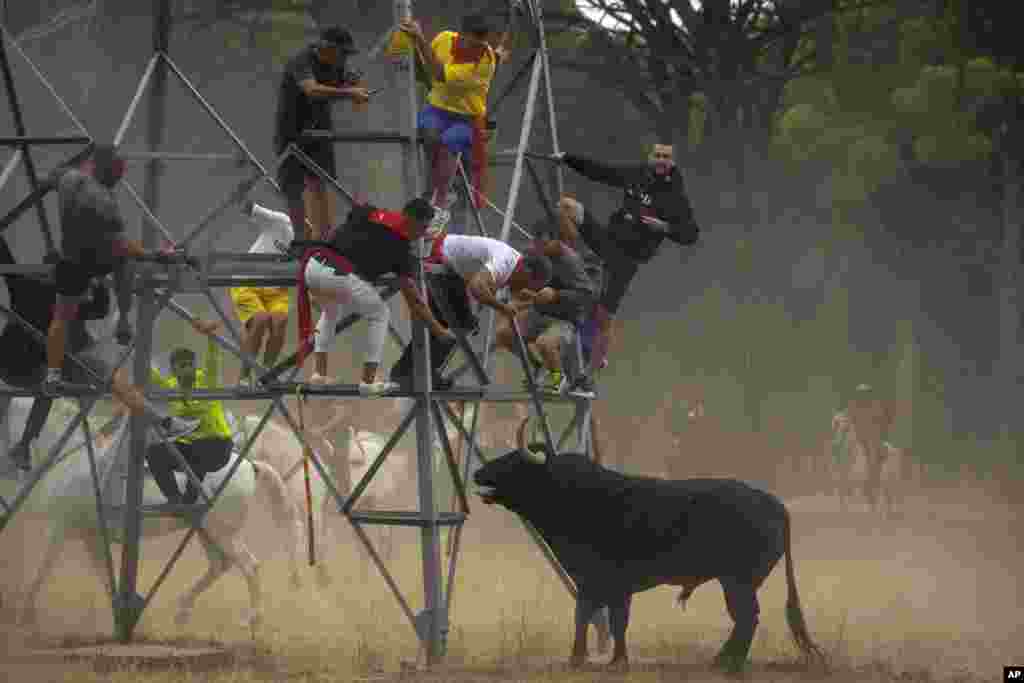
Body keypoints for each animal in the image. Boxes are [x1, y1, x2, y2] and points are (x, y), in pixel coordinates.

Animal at [473, 430, 823, 671]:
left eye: (514, 460)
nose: (478, 473)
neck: (577, 495)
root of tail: (775, 504)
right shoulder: (601, 584)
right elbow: (601, 618)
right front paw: (604, 659)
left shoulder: (602, 582)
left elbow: (598, 617)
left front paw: (594, 659)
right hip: (738, 582)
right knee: (745, 620)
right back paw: (722, 661)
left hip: (737, 581)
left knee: (747, 618)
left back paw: (728, 664)